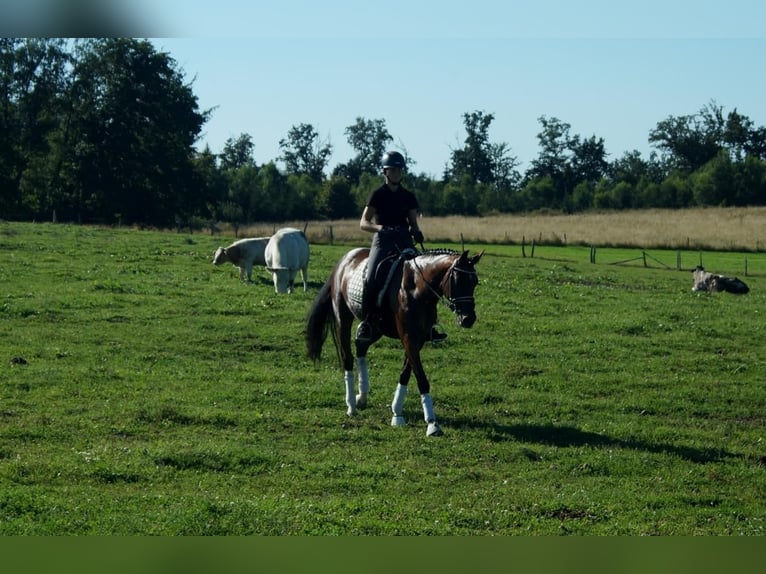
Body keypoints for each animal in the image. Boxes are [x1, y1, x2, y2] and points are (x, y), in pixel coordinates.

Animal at [305, 247, 484, 436]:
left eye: (474, 282)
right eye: (457, 280)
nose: (468, 319)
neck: (418, 289)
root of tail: (345, 259)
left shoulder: (417, 340)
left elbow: (405, 374)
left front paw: (397, 413)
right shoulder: (409, 339)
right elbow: (421, 379)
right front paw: (432, 423)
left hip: (376, 329)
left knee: (361, 347)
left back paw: (362, 397)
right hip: (343, 319)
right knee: (347, 357)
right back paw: (351, 406)